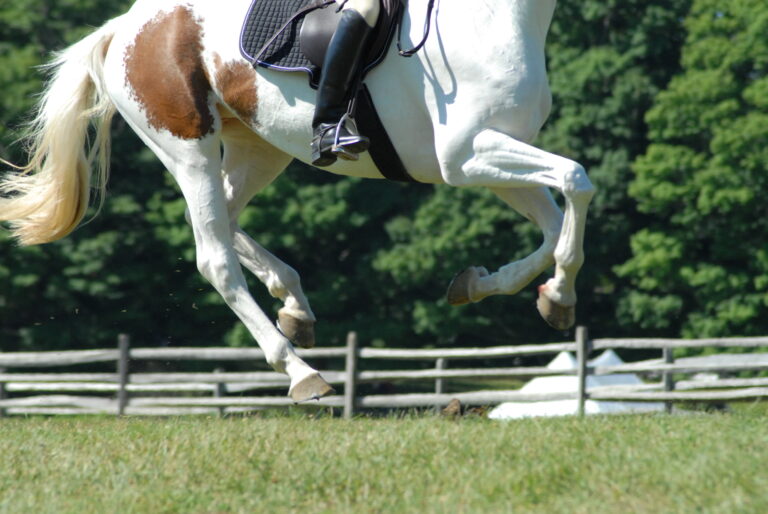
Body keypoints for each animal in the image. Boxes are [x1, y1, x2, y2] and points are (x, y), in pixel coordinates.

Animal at [0, 0, 594, 402]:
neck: (492, 17)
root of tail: (124, 25)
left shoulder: (488, 162)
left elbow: (553, 226)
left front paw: (510, 289)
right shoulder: (467, 153)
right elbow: (578, 180)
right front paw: (560, 294)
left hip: (258, 146)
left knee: (222, 220)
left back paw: (293, 302)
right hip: (188, 147)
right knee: (214, 256)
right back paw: (302, 372)